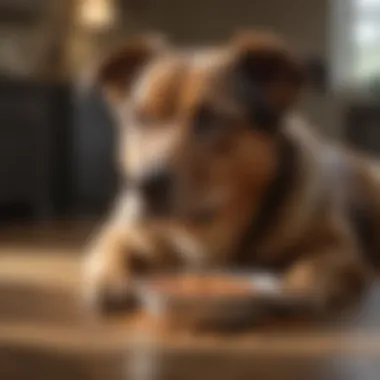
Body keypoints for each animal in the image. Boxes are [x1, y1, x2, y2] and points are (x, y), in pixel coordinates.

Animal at [82, 29, 380, 316]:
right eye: (139, 117)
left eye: (209, 118)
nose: (143, 185)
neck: (208, 234)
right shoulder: (121, 231)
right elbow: (110, 249)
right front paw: (108, 278)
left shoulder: (343, 250)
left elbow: (319, 263)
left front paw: (300, 284)